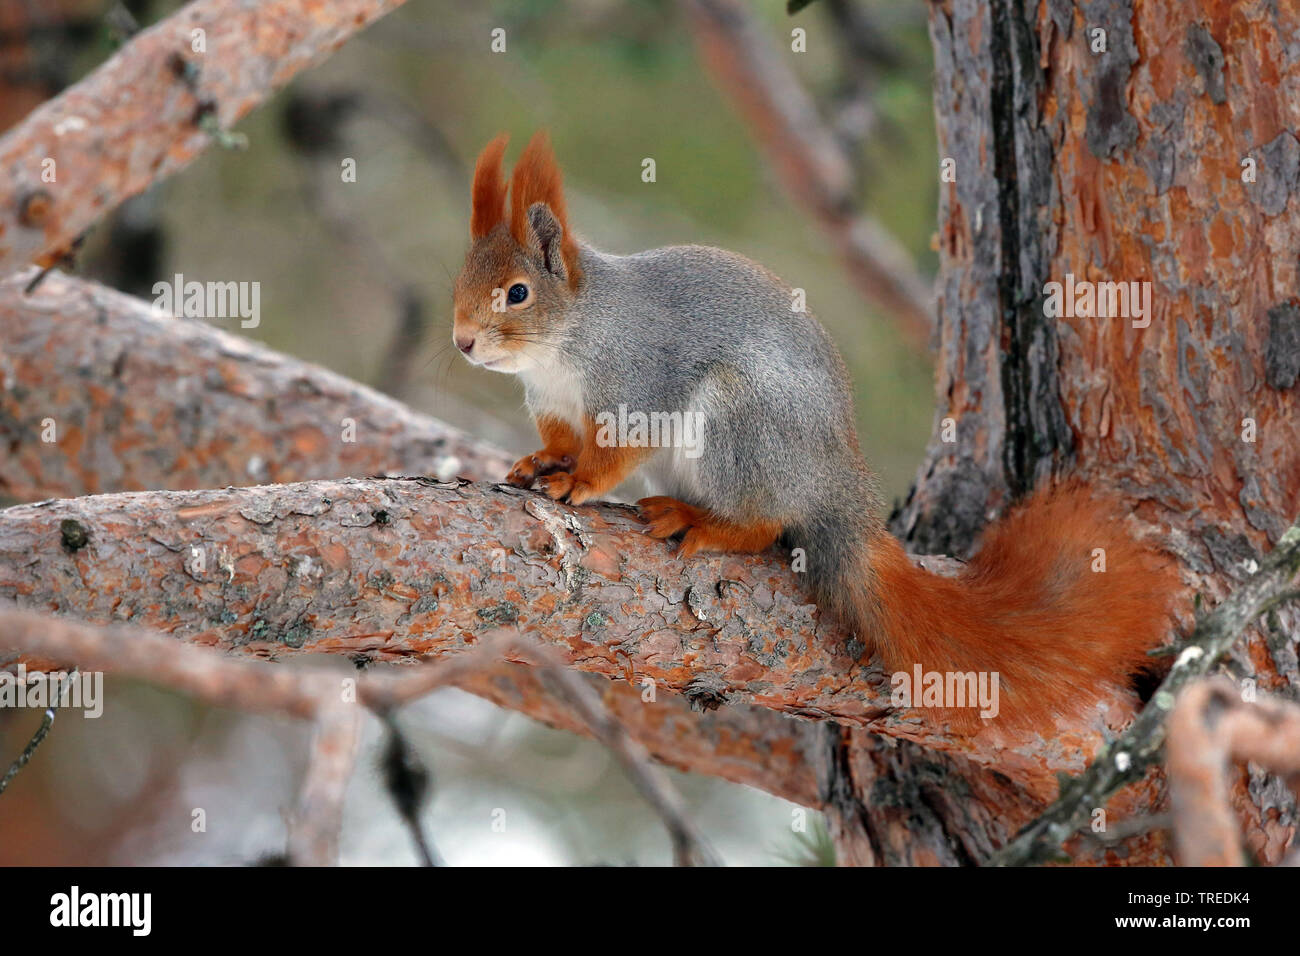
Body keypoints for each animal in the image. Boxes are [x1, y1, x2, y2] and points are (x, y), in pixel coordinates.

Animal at [449, 132, 1180, 733]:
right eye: (462, 279)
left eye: (517, 293)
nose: (462, 343)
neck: (567, 339)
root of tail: (836, 490)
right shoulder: (552, 404)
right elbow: (557, 440)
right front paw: (539, 464)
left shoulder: (636, 386)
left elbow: (612, 453)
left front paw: (577, 482)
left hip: (740, 426)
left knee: (765, 525)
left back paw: (702, 521)